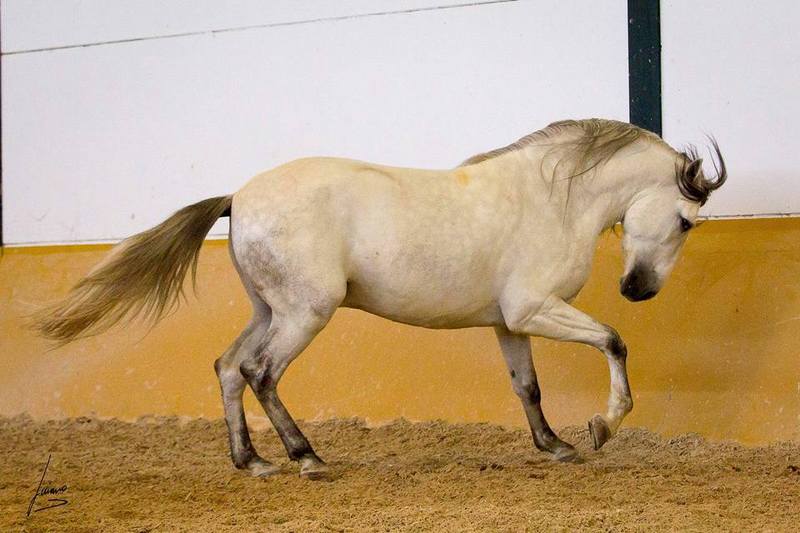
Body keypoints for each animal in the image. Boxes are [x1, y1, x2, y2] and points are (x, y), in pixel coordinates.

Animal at [33, 118, 726, 479]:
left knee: (229, 367)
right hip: (305, 314)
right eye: (686, 223)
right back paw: (307, 457)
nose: (638, 290)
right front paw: (602, 426)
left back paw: (252, 462)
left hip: (271, 310)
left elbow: (527, 387)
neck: (554, 199)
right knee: (260, 372)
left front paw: (555, 445)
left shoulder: (510, 322)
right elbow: (612, 340)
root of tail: (239, 196)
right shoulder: (535, 309)